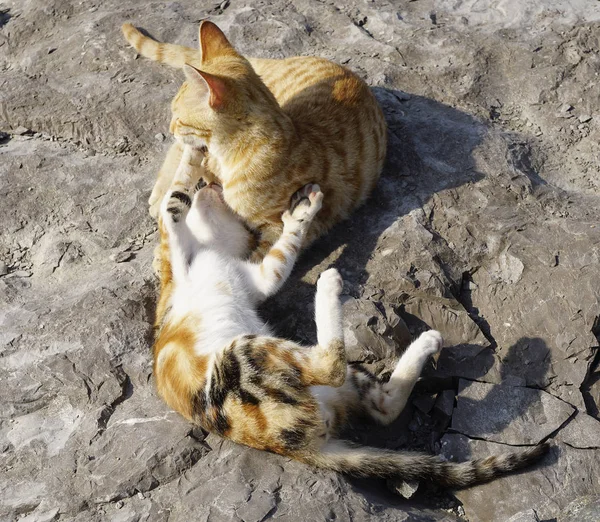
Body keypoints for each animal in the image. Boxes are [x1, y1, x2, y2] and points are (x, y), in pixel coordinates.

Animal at [151, 145, 548, 484]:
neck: (211, 248)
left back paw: (424, 339)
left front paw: (298, 211)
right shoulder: (189, 263)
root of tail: (301, 449)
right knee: (331, 364)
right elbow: (172, 201)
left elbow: (281, 251)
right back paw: (330, 285)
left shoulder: (258, 279)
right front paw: (191, 159)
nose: (209, 184)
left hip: (327, 379)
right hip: (243, 355)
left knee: (381, 404)